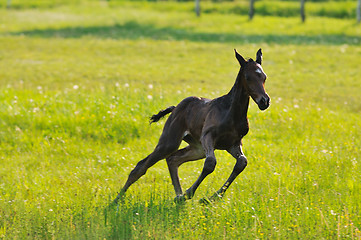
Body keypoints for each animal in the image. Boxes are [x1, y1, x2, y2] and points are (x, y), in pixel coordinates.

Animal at [114, 49, 268, 204]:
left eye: (264, 77)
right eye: (248, 77)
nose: (264, 101)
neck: (231, 112)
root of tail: (175, 108)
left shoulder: (233, 143)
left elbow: (242, 162)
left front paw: (210, 198)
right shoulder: (208, 136)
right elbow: (210, 163)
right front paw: (191, 194)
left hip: (197, 148)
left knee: (173, 159)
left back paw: (178, 196)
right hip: (170, 141)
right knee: (142, 165)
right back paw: (116, 200)